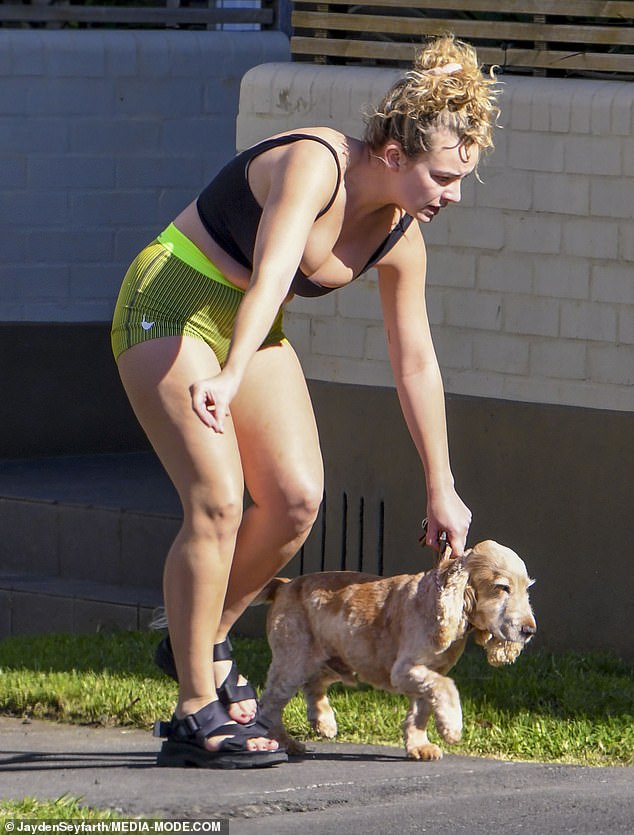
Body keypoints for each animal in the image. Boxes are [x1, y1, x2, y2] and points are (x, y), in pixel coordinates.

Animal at [256, 540, 532, 760]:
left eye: (527, 588)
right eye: (502, 587)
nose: (529, 630)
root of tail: (284, 585)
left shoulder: (428, 673)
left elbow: (421, 710)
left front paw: (420, 746)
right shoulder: (405, 670)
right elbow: (446, 687)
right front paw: (451, 728)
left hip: (335, 659)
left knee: (313, 685)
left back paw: (324, 722)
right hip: (293, 659)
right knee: (270, 704)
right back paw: (285, 743)